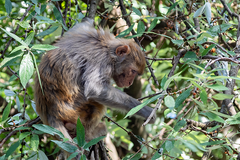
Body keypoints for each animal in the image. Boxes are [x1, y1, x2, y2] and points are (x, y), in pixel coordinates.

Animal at [34, 20, 158, 149]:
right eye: (133, 71)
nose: (130, 82)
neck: (107, 47)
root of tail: (50, 114)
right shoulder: (102, 60)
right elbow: (95, 89)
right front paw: (145, 110)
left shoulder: (82, 31)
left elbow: (79, 26)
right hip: (75, 111)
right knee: (98, 105)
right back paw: (90, 134)